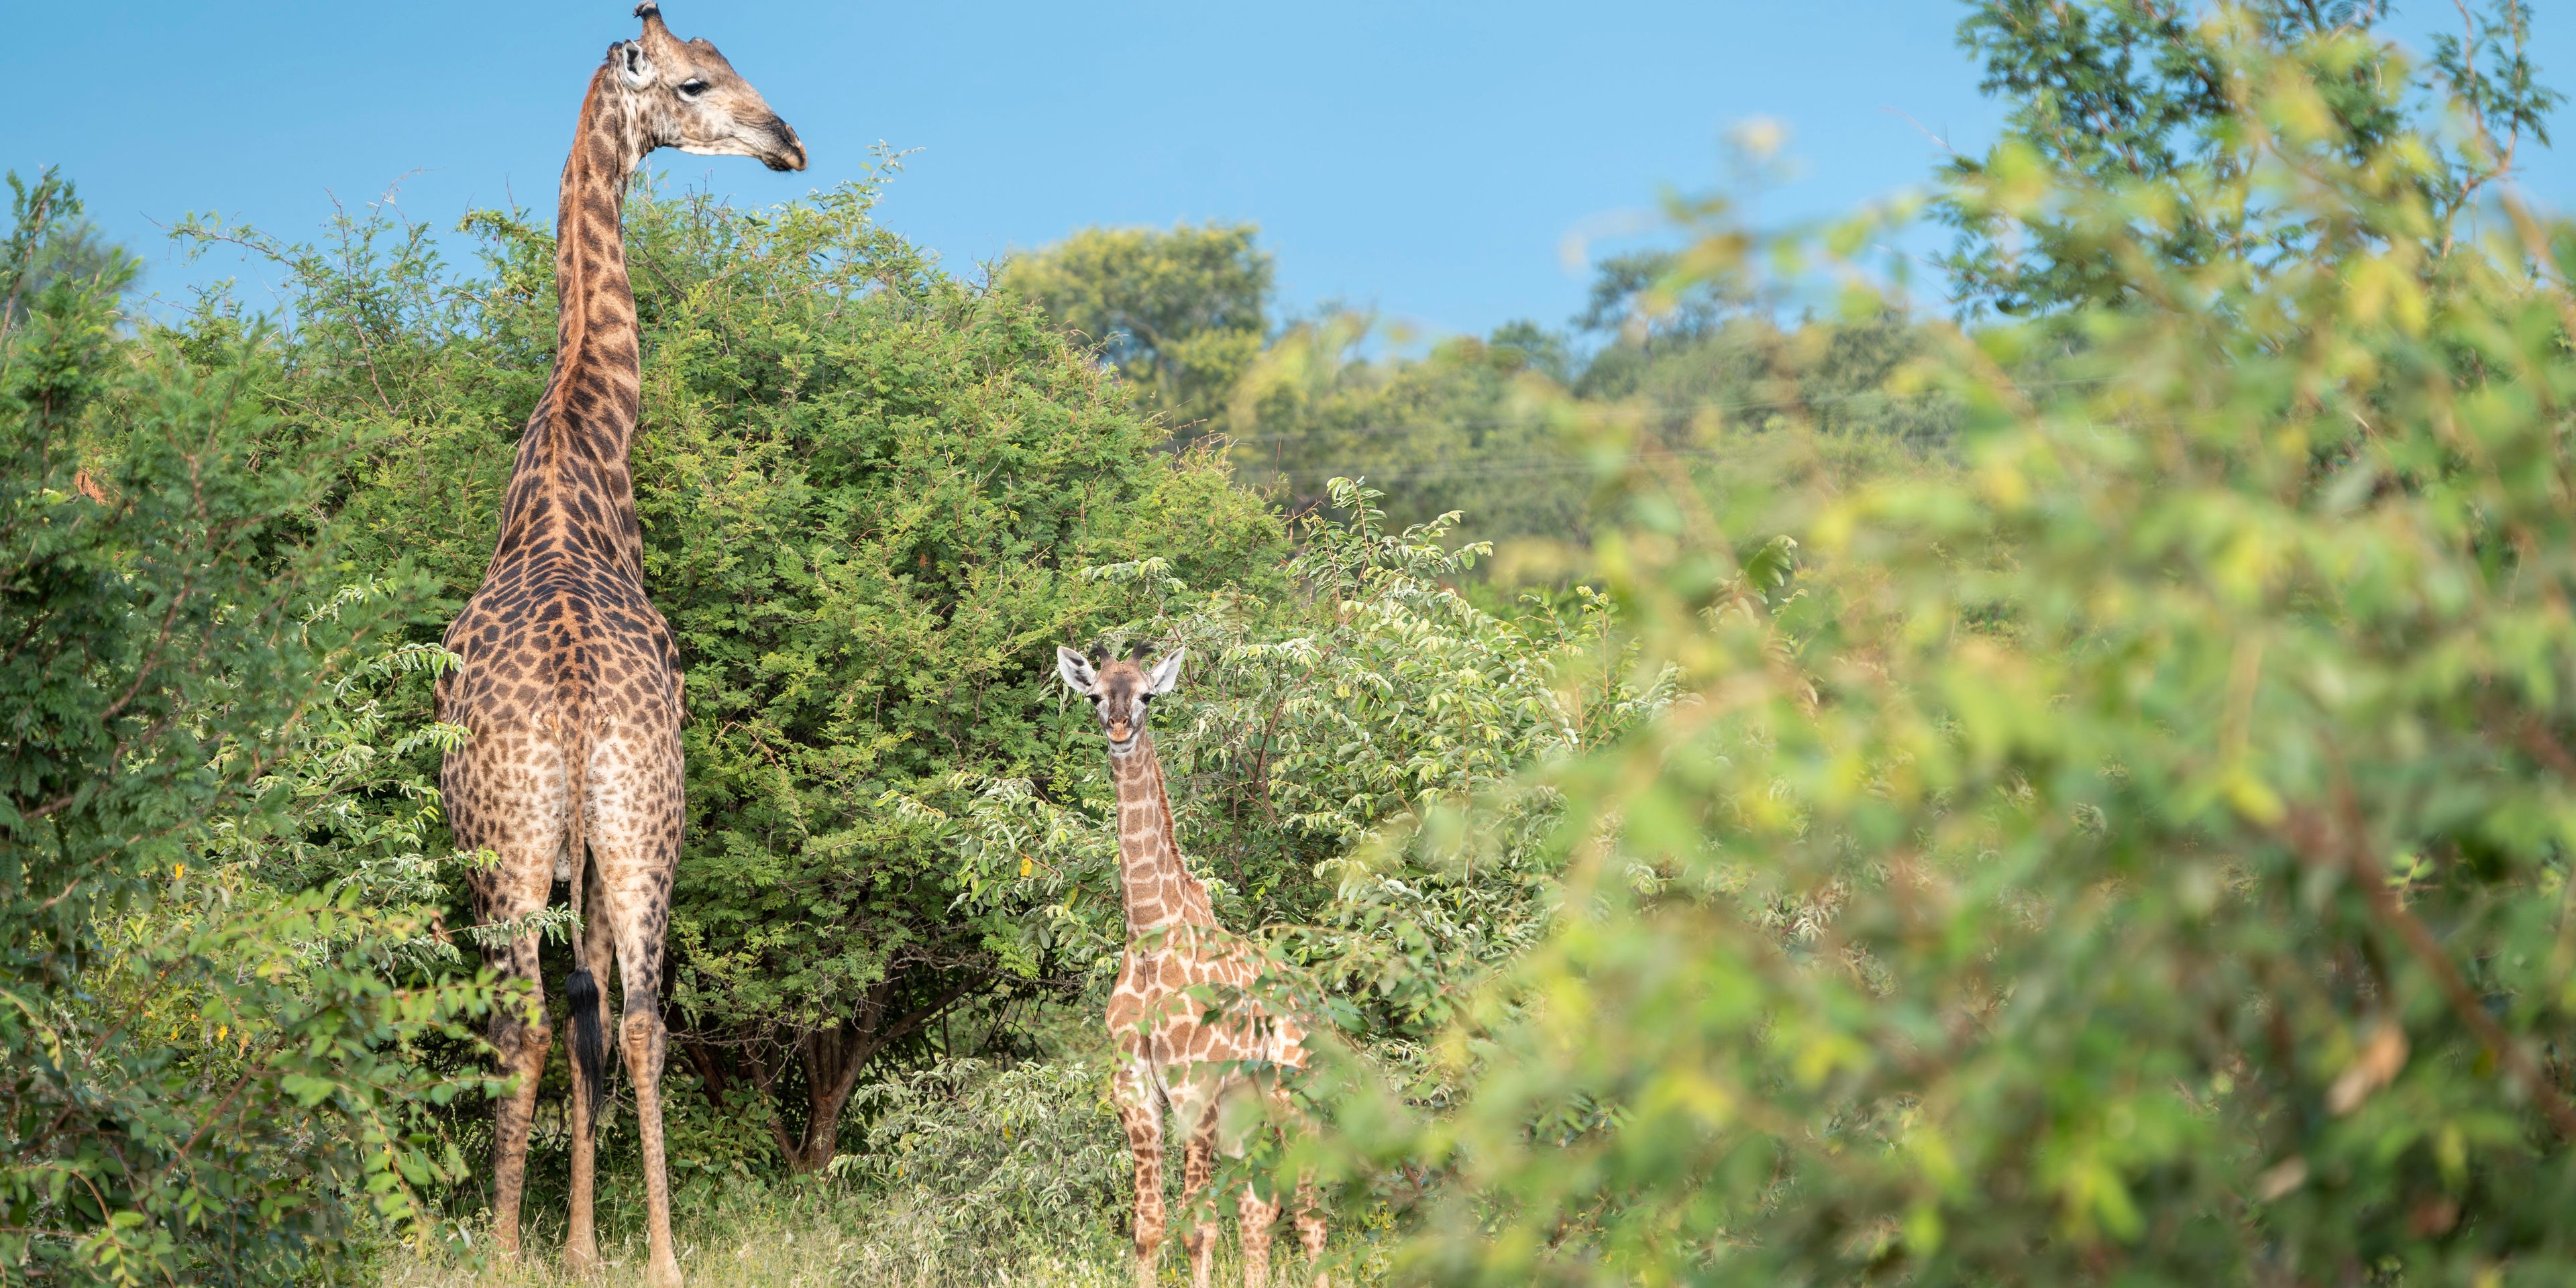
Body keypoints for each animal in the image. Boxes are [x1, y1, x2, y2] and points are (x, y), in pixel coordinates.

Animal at [435, 7, 803, 1283]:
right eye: (696, 83)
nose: (788, 142)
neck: (582, 440)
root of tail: (579, 703)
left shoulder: (559, 852)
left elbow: (568, 1021)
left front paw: (575, 1244)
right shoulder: (592, 846)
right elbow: (599, 1018)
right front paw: (596, 1246)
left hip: (526, 841)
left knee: (532, 1022)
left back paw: (508, 1250)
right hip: (635, 822)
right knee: (633, 1018)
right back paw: (660, 1257)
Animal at [1056, 644, 1330, 1288]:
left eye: (1147, 695)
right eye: (1094, 694)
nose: (1120, 729)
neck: (1150, 936)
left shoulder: (1195, 1090)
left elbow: (1198, 1229)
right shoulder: (1135, 1092)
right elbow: (1149, 1227)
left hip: (1296, 1100)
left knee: (1309, 1216)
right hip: (1247, 1108)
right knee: (1262, 1209)